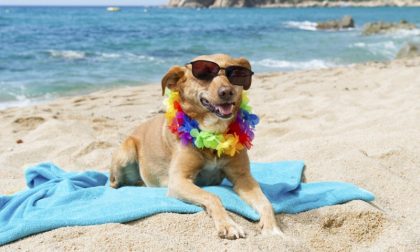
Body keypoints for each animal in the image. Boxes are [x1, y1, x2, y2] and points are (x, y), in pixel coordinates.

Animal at [110, 54, 282, 239]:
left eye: (235, 73)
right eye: (204, 73)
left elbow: (265, 202)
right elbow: (212, 196)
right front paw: (228, 224)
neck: (213, 133)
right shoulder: (179, 180)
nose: (226, 92)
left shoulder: (243, 178)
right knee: (114, 183)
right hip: (126, 152)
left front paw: (272, 228)